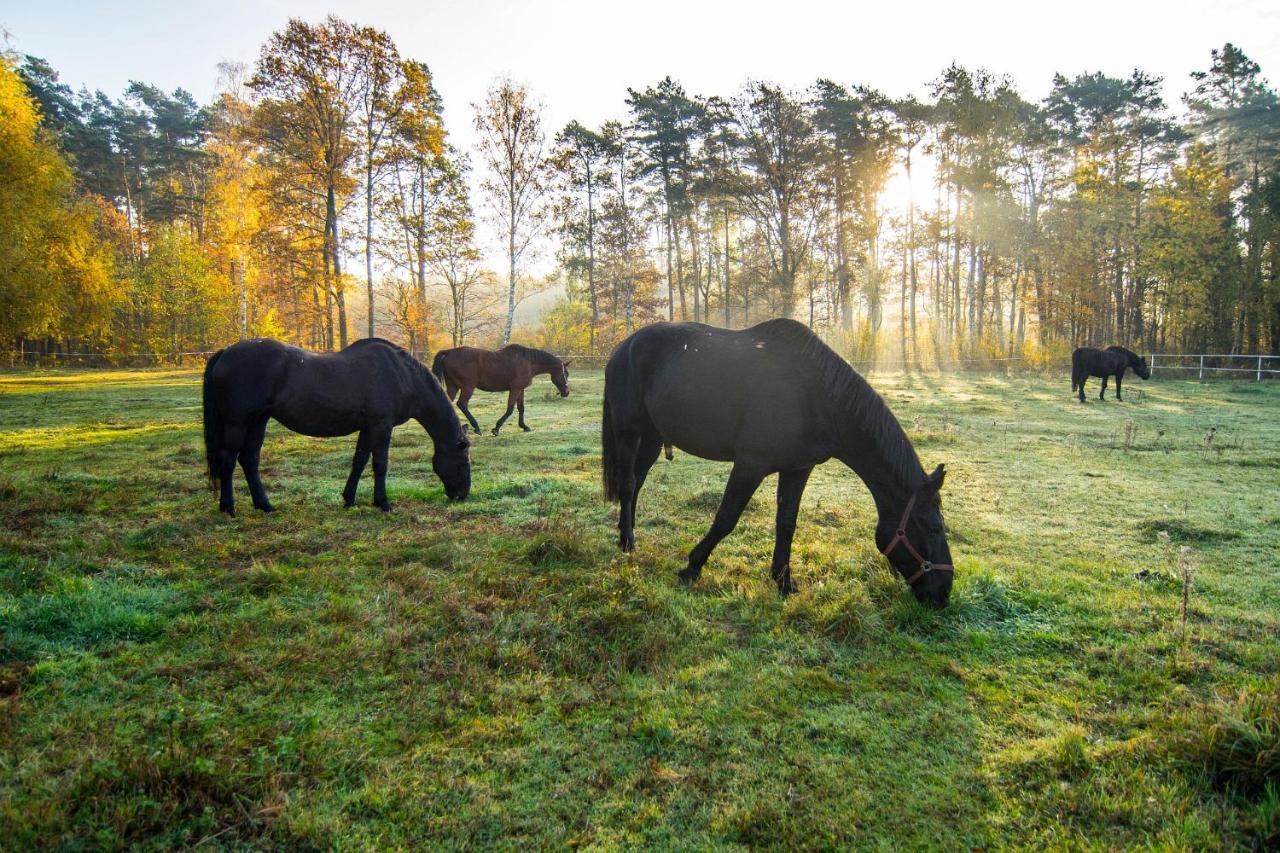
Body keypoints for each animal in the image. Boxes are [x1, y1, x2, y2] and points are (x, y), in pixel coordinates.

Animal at [202, 338, 473, 512]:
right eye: (463, 462)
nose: (462, 496)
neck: (402, 376)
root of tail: (225, 352)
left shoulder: (368, 428)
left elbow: (359, 461)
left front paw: (349, 499)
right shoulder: (381, 426)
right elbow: (380, 464)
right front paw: (383, 503)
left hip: (258, 422)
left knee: (249, 460)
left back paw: (265, 505)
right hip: (238, 423)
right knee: (228, 460)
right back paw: (229, 507)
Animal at [430, 343, 570, 435]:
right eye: (565, 374)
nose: (566, 392)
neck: (529, 362)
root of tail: (449, 352)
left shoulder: (520, 389)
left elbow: (521, 408)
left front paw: (524, 426)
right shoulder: (515, 389)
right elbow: (510, 409)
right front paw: (496, 428)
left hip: (453, 386)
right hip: (467, 387)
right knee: (462, 404)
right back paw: (476, 427)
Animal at [604, 318, 957, 604]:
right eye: (934, 527)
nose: (943, 592)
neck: (816, 394)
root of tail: (623, 347)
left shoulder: (797, 469)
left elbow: (786, 523)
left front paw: (784, 582)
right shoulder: (750, 465)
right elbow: (726, 518)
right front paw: (692, 566)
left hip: (652, 437)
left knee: (636, 484)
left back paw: (626, 533)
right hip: (629, 431)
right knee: (628, 484)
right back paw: (628, 542)